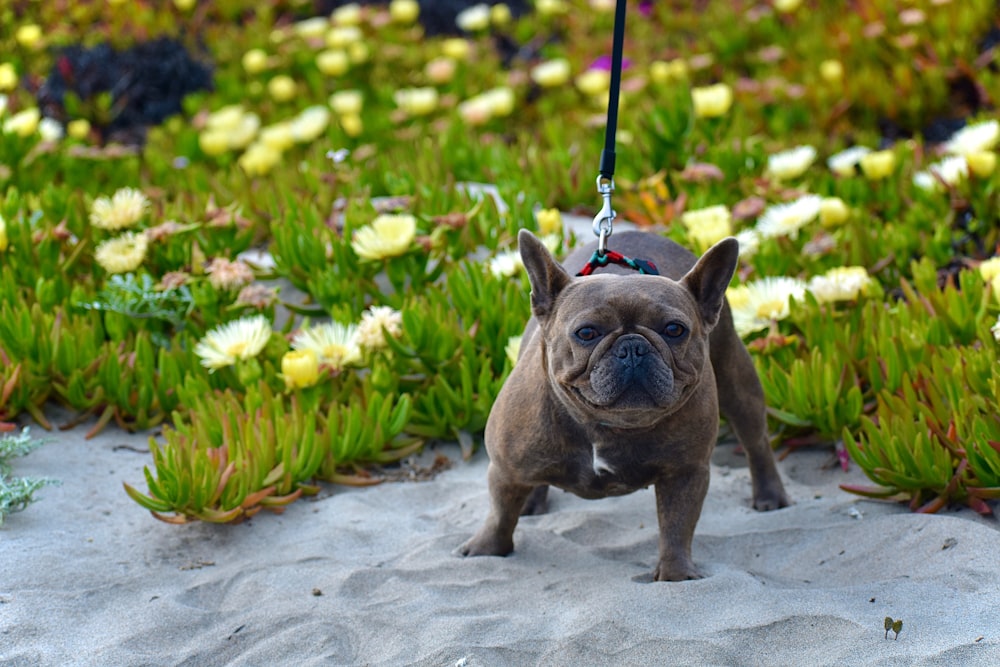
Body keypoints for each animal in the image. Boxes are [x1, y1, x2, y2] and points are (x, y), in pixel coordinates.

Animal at [458, 228, 788, 580]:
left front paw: (676, 574)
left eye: (675, 329)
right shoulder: (504, 469)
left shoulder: (686, 472)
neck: (608, 425)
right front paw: (486, 550)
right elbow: (500, 513)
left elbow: (677, 525)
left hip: (737, 380)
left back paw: (770, 496)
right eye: (586, 333)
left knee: (755, 442)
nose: (632, 347)